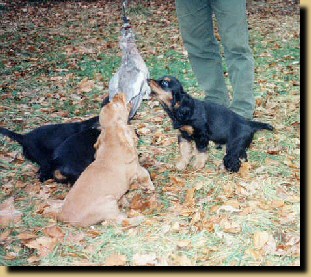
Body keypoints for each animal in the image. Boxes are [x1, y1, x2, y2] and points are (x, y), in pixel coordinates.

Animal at [57, 92, 155, 226]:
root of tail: (65, 218)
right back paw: (138, 218)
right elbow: (145, 174)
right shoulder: (136, 168)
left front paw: (125, 201)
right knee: (119, 220)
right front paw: (150, 187)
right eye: (117, 105)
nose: (118, 93)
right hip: (109, 205)